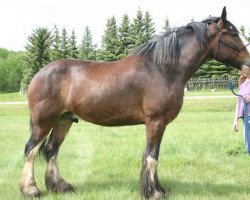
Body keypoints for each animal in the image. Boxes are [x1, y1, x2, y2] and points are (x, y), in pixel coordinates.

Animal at [19, 7, 250, 199]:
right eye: (233, 34)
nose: (248, 62)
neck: (163, 68)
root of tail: (39, 74)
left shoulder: (159, 124)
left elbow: (153, 155)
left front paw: (158, 189)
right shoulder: (155, 122)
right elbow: (151, 156)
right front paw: (153, 192)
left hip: (63, 120)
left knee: (51, 150)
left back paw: (60, 186)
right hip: (44, 121)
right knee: (31, 149)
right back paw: (31, 189)